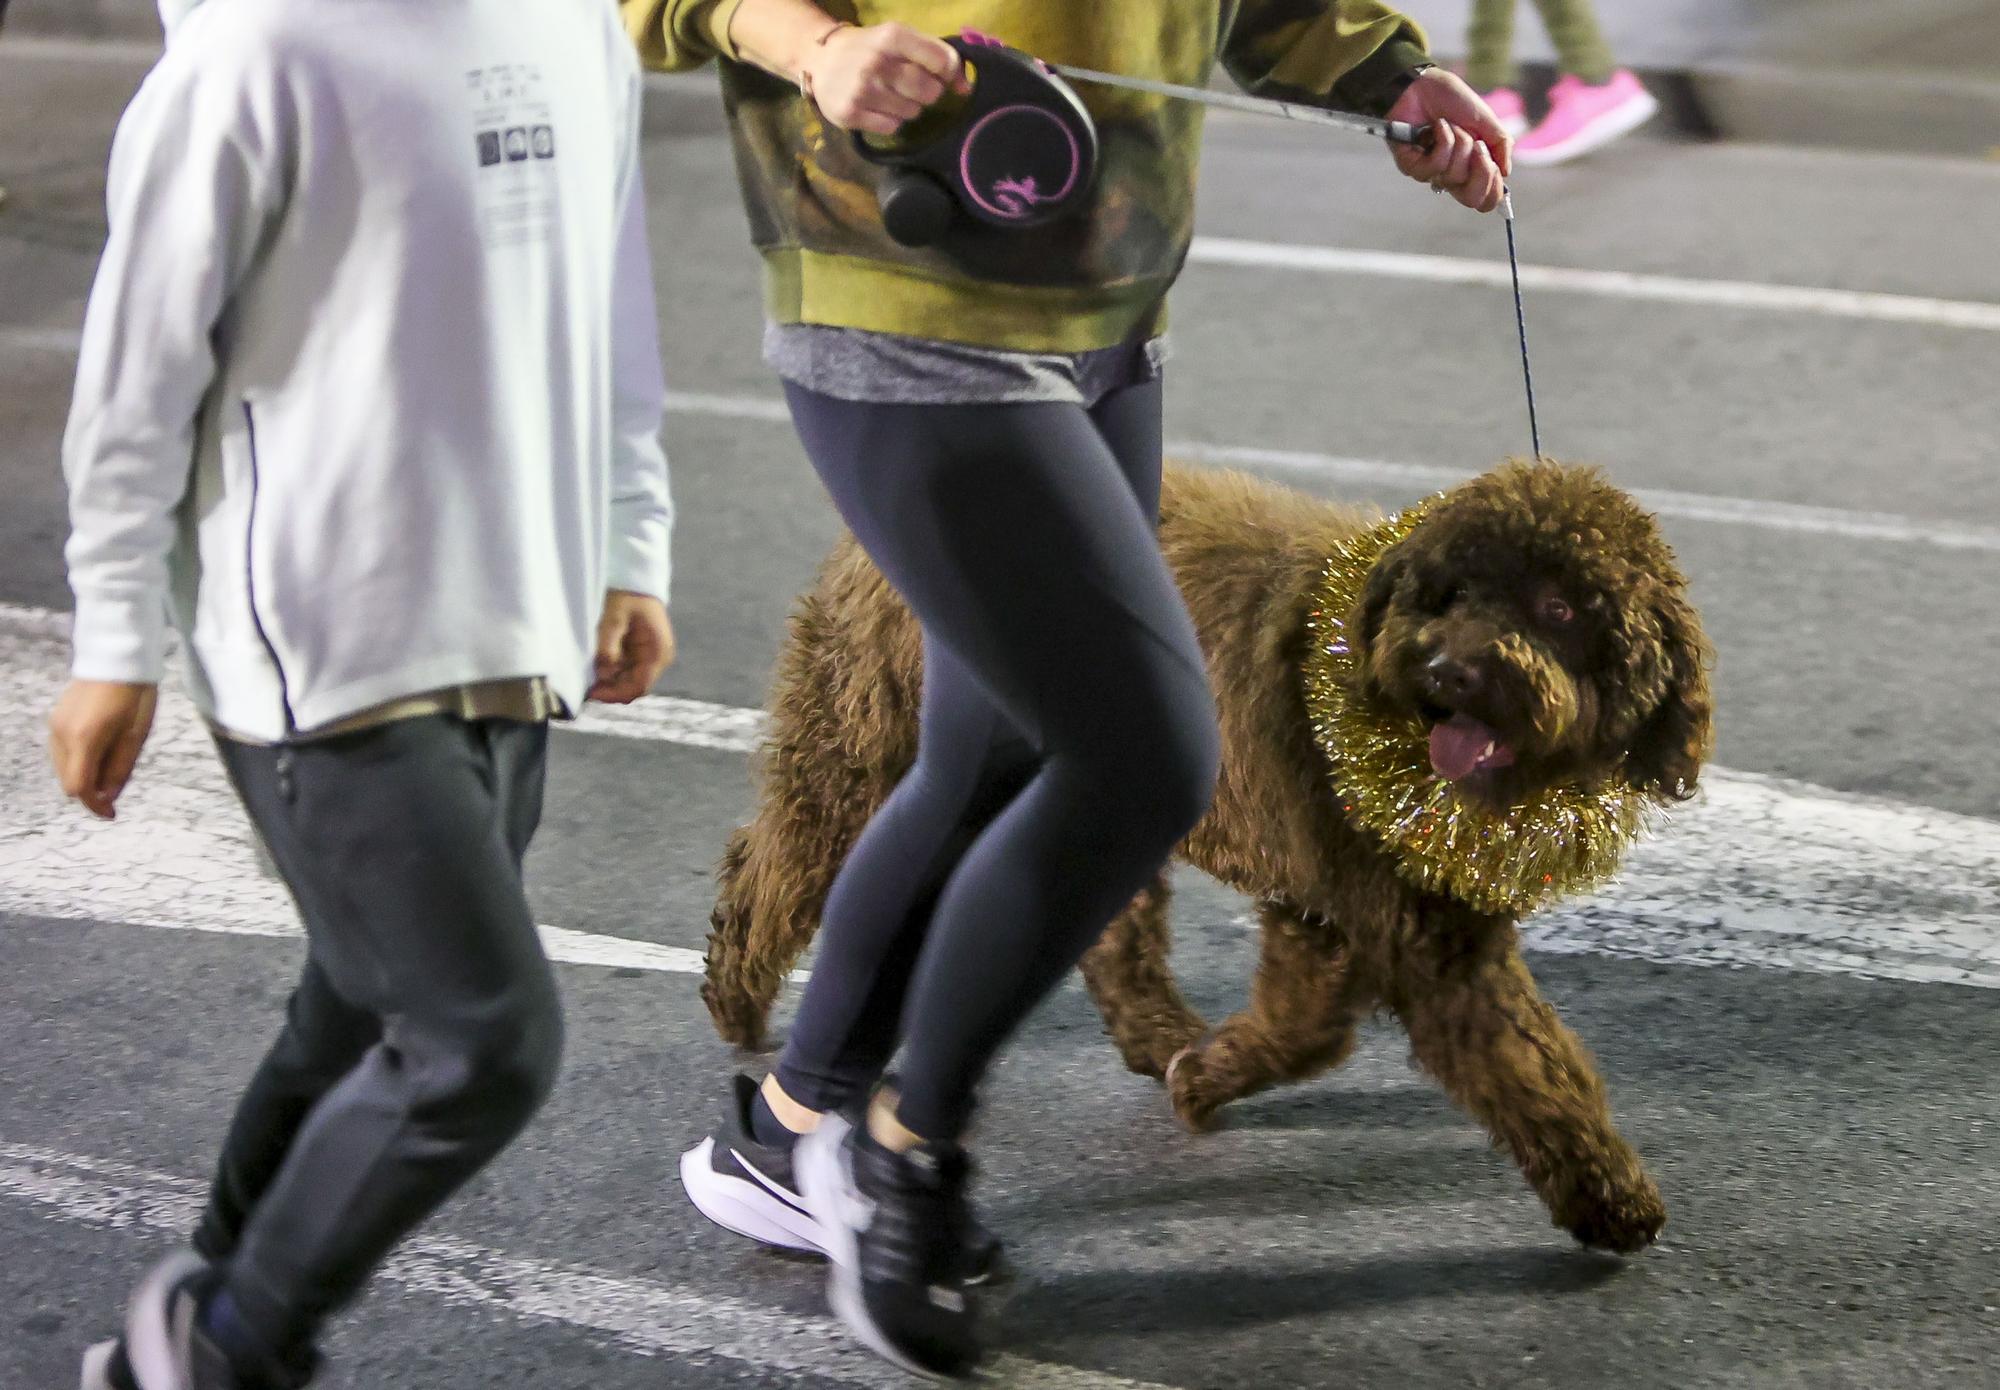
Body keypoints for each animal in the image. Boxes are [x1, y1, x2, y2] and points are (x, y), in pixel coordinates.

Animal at [700, 462, 1704, 1256]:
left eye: (1561, 607)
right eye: (1450, 594)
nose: (1450, 671)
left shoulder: (1341, 910)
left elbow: (1313, 1029)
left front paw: (1209, 1072)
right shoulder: (1416, 938)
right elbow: (1525, 1068)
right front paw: (1609, 1197)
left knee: (1110, 935)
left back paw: (1158, 1036)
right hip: (872, 752)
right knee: (779, 858)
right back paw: (738, 997)